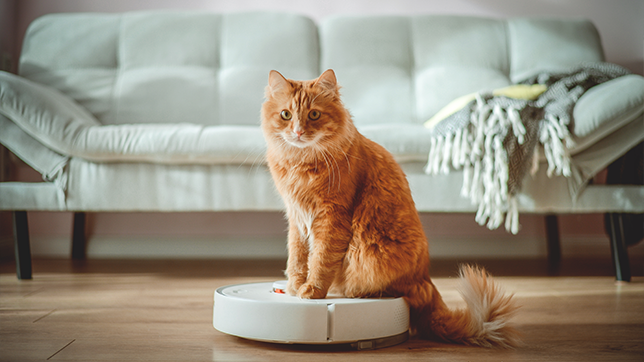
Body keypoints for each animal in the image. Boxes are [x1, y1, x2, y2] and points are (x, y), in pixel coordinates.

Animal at [260, 68, 520, 348]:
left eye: (314, 115)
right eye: (286, 115)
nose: (298, 132)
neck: (301, 163)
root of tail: (425, 278)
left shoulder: (332, 218)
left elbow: (320, 260)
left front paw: (312, 290)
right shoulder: (296, 218)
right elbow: (297, 257)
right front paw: (294, 285)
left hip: (373, 254)